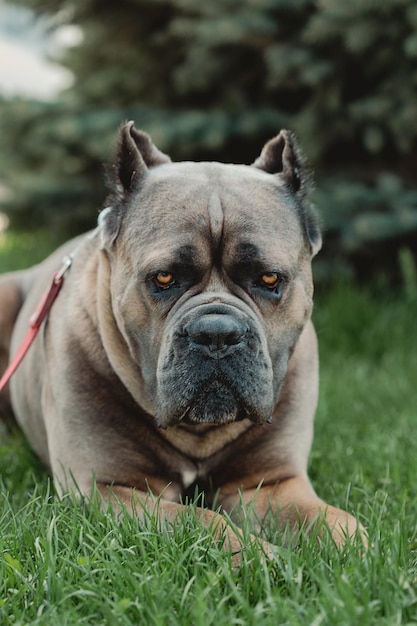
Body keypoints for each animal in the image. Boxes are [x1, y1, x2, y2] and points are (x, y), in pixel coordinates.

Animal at [0, 122, 364, 560]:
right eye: (164, 278)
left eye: (269, 279)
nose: (217, 334)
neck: (199, 434)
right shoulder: (109, 488)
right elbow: (203, 522)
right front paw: (257, 556)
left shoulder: (271, 482)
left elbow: (332, 521)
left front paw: (354, 551)